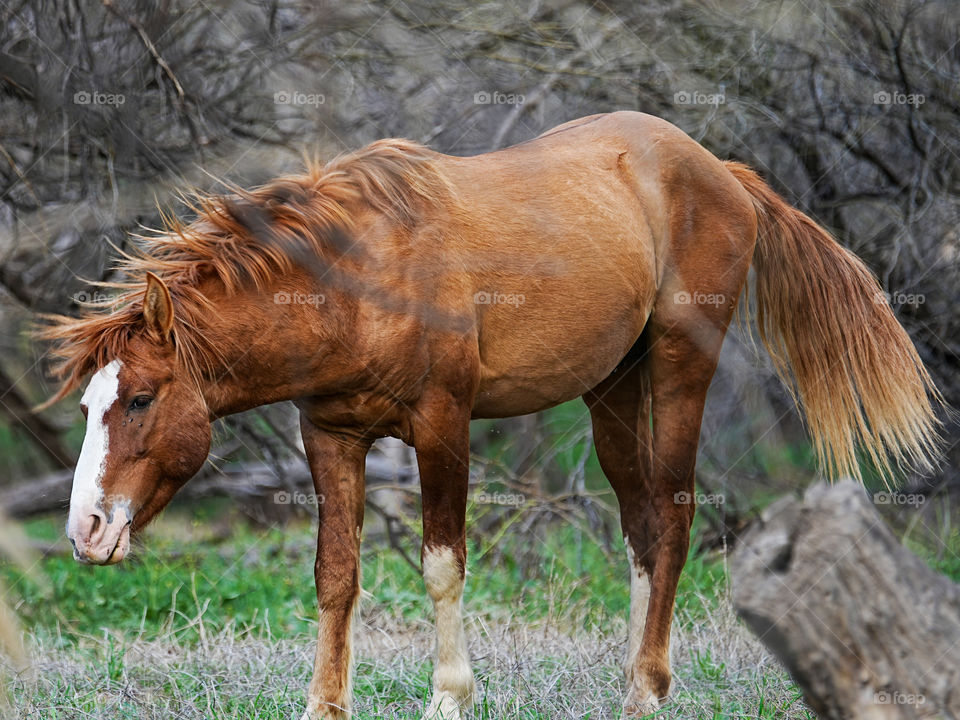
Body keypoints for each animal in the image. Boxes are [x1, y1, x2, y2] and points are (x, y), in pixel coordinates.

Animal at [41, 111, 940, 719]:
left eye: (142, 398)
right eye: (89, 402)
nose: (86, 530)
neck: (355, 281)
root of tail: (714, 166)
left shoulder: (443, 425)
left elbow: (443, 564)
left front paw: (449, 697)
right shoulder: (329, 434)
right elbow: (337, 575)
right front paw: (323, 703)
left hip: (684, 365)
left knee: (677, 515)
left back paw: (650, 689)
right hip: (612, 387)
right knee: (643, 526)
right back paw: (629, 680)